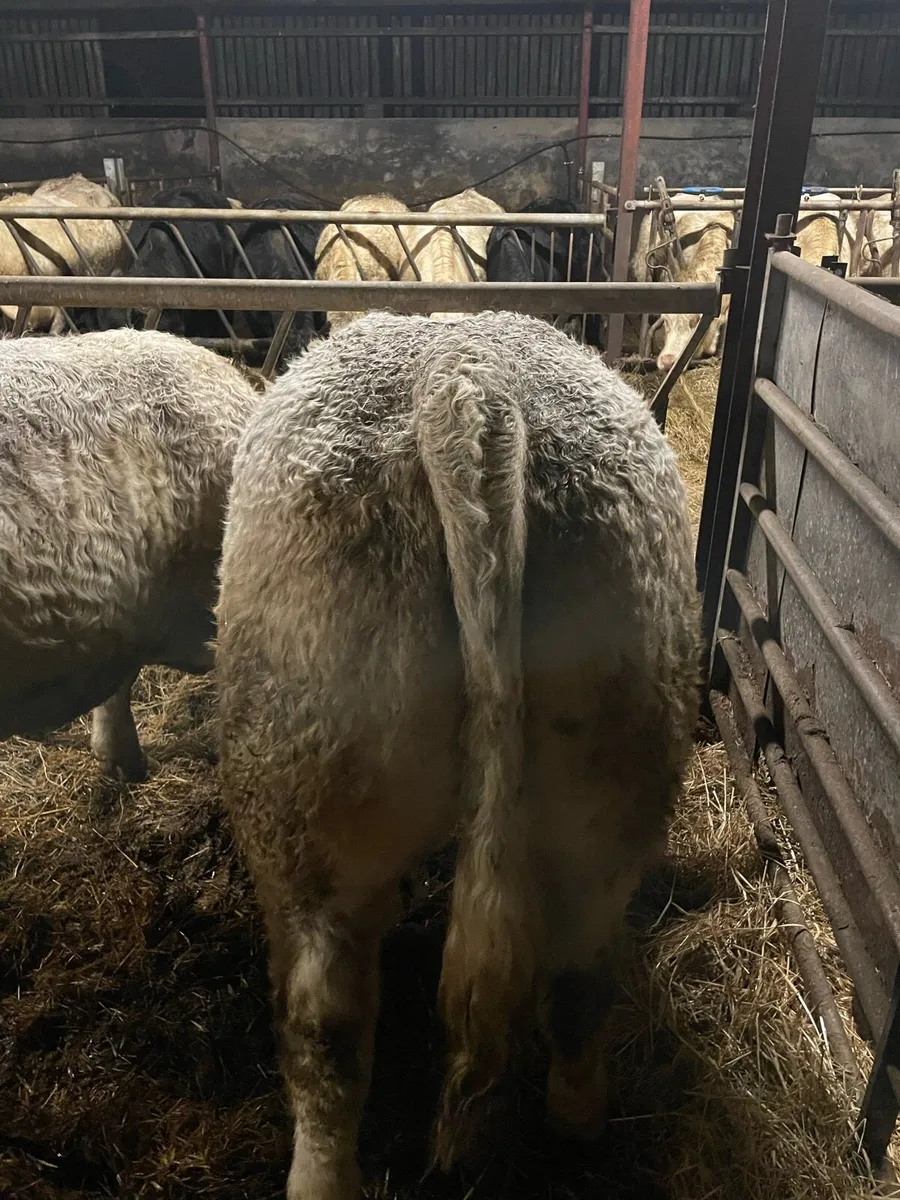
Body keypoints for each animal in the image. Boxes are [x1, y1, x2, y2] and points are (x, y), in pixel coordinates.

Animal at [216, 311, 701, 1200]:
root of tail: (465, 384)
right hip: (615, 762)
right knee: (581, 973)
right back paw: (576, 1124)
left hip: (304, 789)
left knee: (326, 1023)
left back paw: (320, 1174)